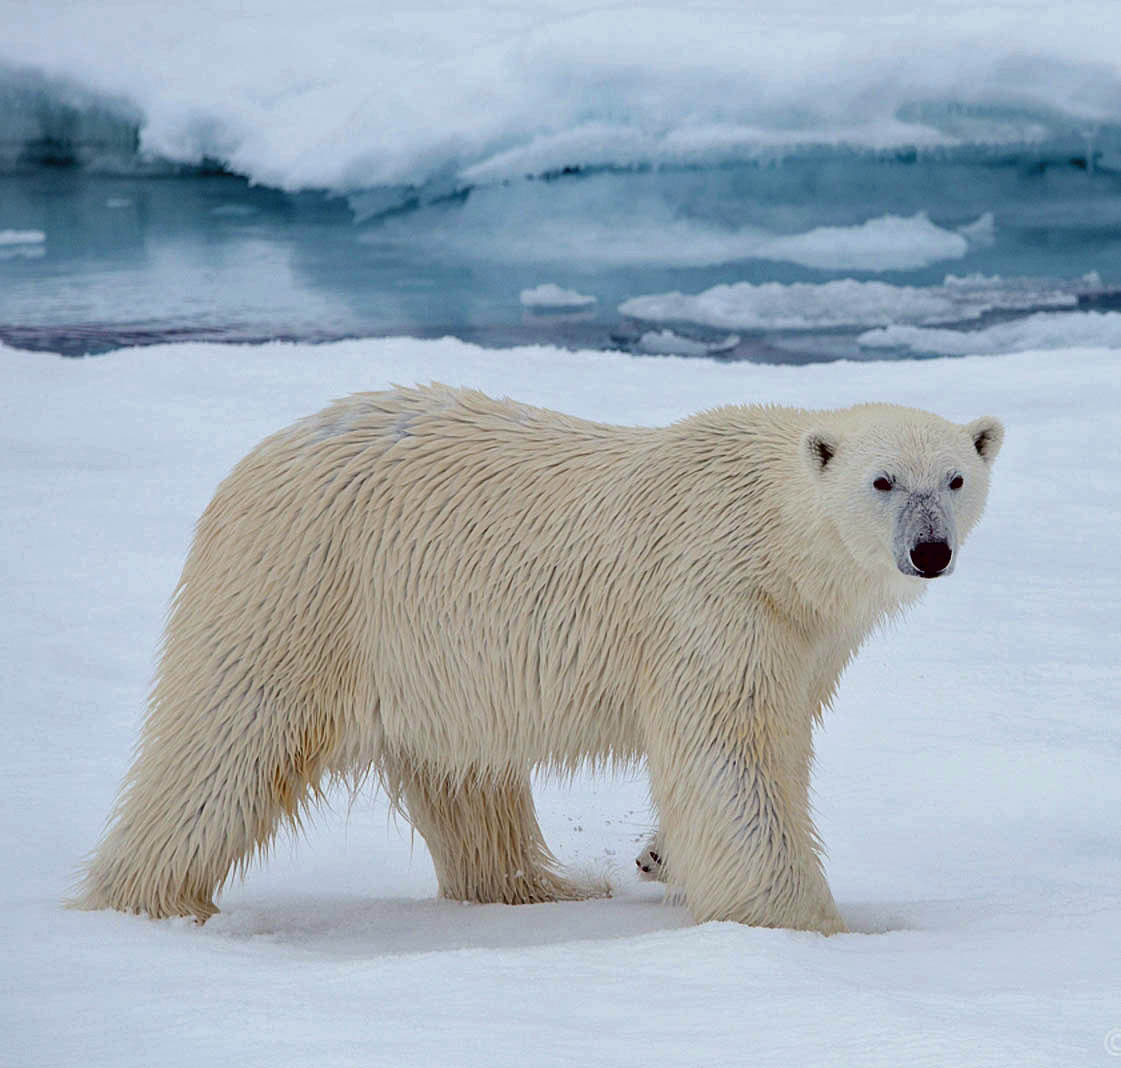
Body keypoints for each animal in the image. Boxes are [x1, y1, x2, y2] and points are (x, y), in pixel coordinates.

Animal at [74, 385, 1004, 932]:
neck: (776, 538)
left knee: (464, 777)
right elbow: (728, 755)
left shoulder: (807, 635)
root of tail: (254, 462)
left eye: (955, 479)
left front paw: (659, 855)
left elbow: (768, 737)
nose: (927, 552)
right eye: (883, 481)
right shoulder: (713, 596)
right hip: (304, 591)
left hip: (421, 649)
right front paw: (801, 918)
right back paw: (151, 901)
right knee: (224, 743)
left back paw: (536, 888)